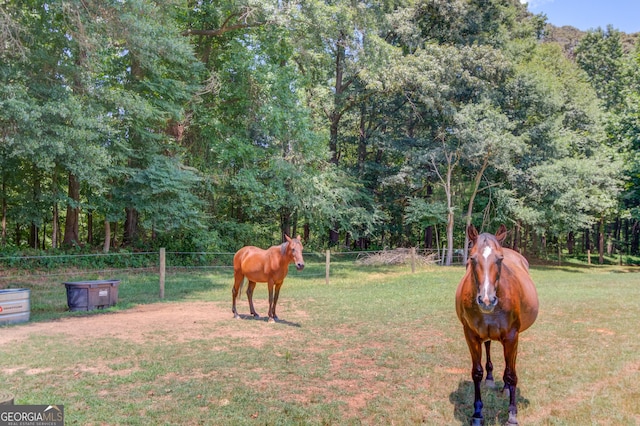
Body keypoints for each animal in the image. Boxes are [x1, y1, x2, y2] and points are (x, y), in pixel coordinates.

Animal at [456, 225, 540, 424]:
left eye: (500, 259)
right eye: (472, 258)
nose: (487, 300)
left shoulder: (511, 336)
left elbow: (511, 373)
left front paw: (512, 415)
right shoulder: (470, 335)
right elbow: (476, 372)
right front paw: (477, 413)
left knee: (511, 364)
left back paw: (507, 388)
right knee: (488, 345)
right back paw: (491, 378)